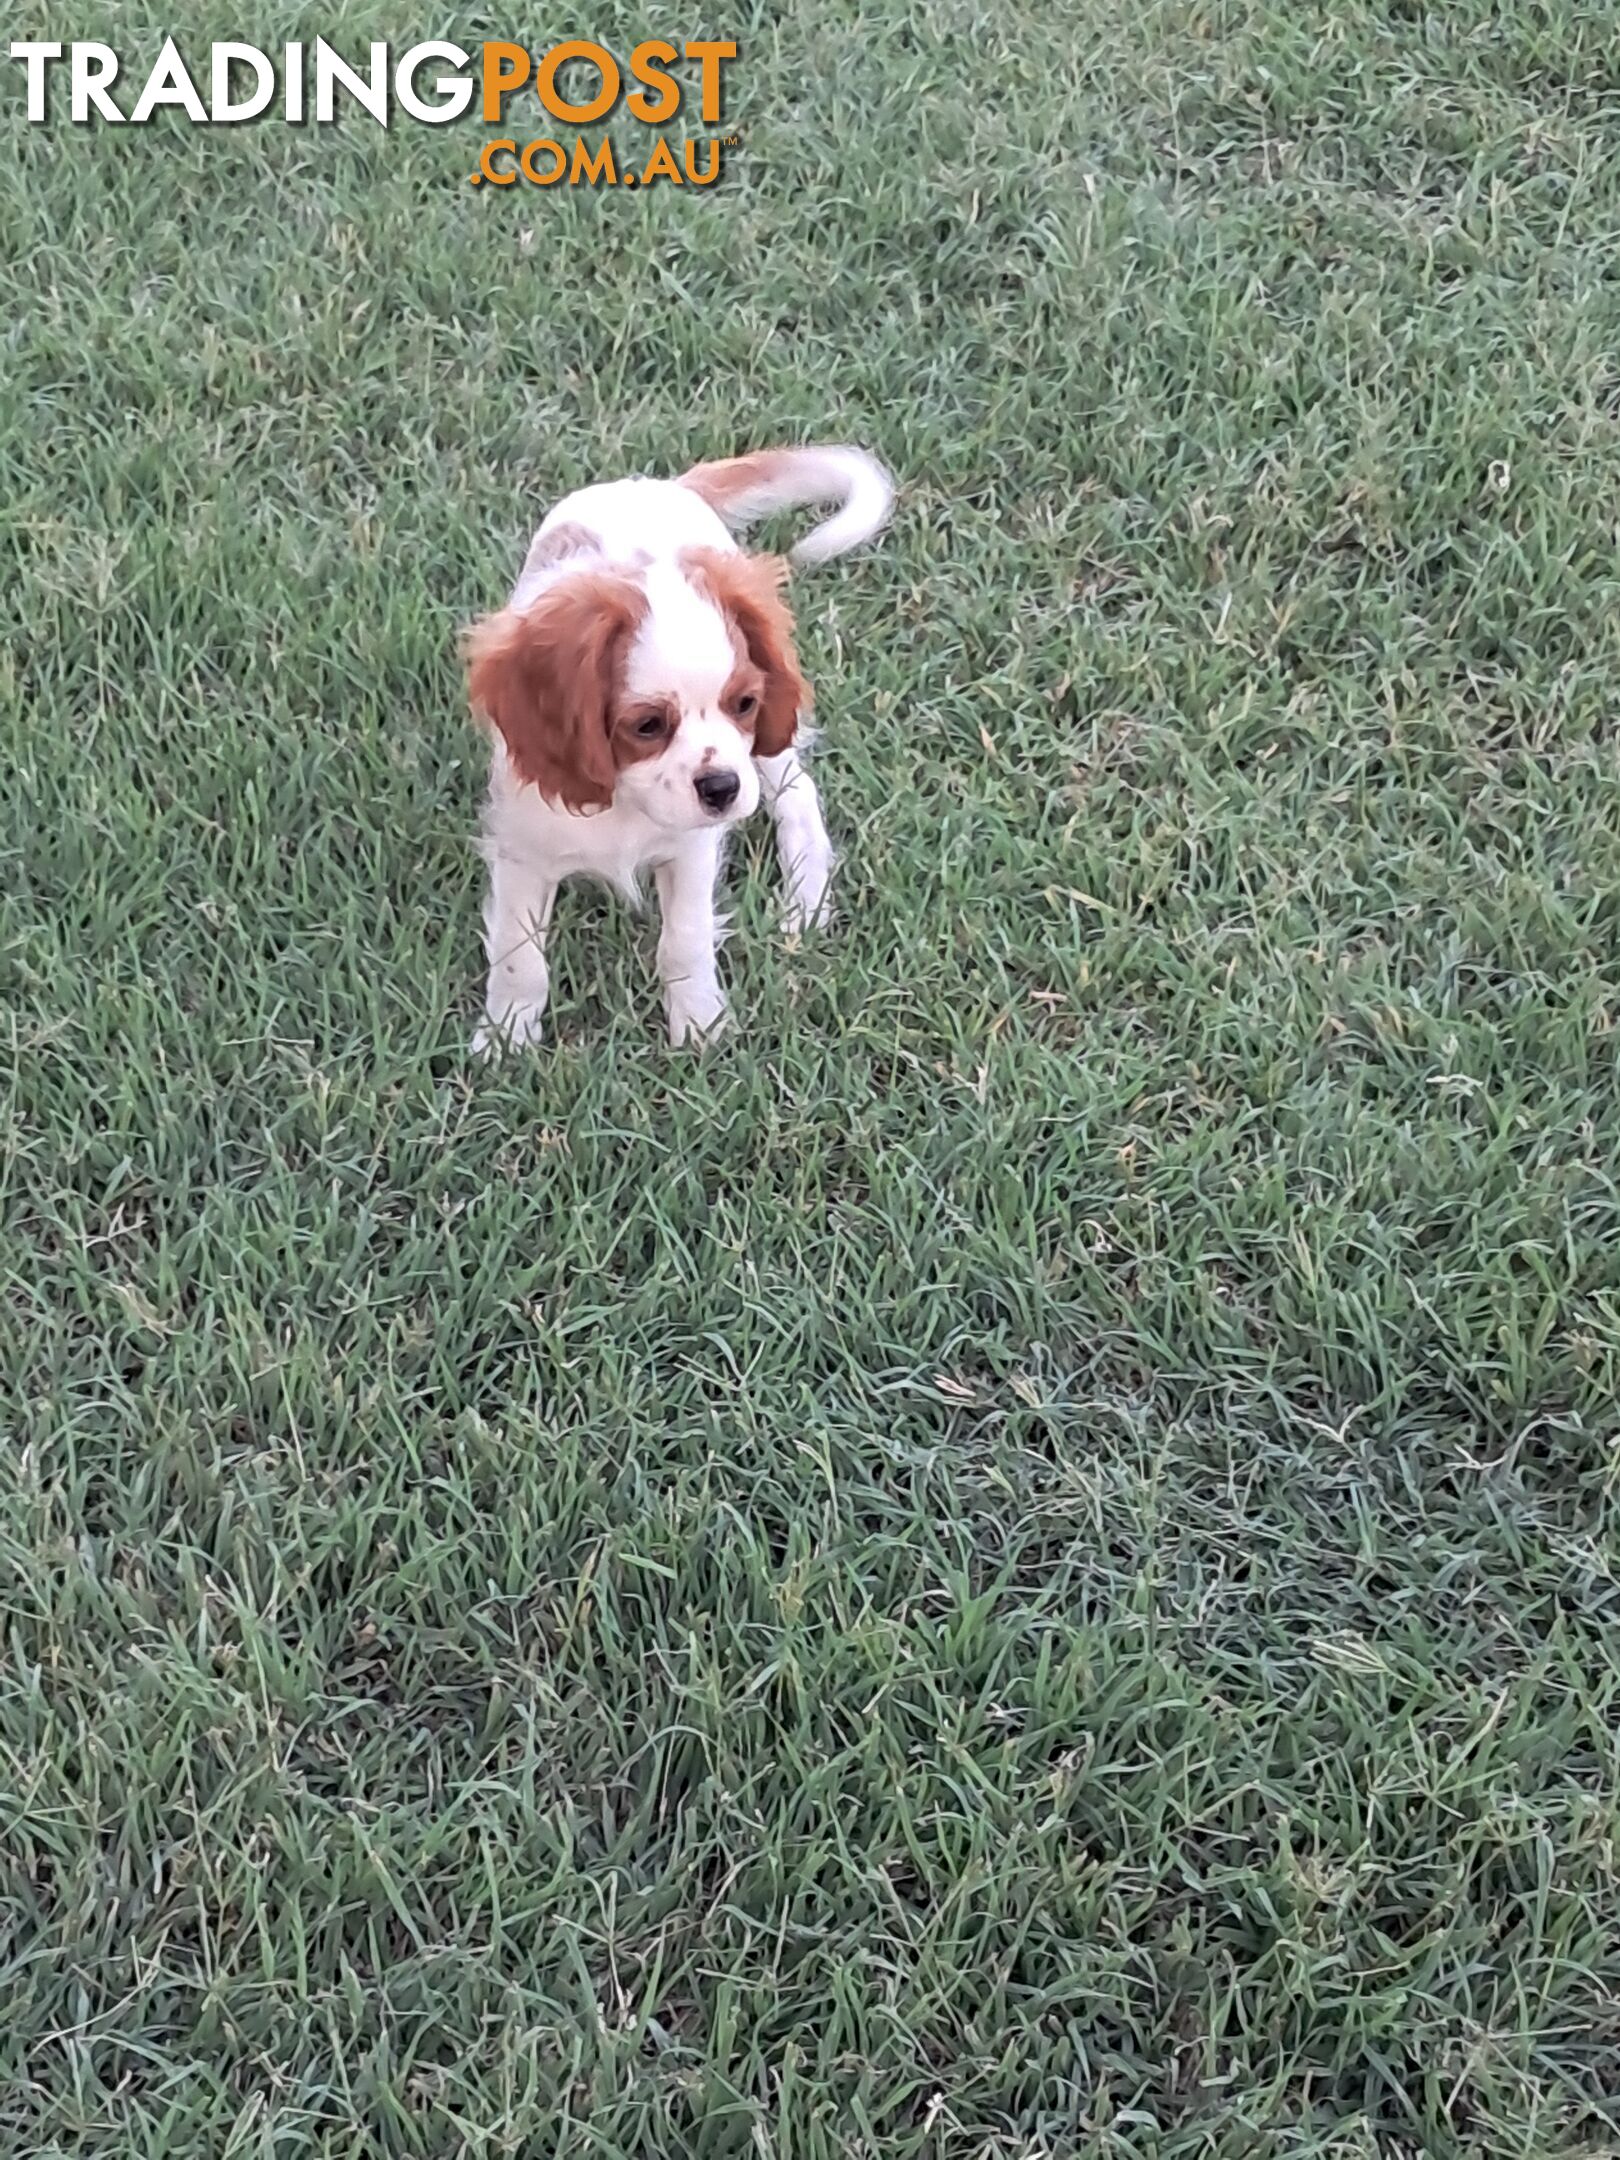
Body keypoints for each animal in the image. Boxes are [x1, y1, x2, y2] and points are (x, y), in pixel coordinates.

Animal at [468, 442, 894, 1049]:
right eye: (647, 725)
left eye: (744, 704)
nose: (722, 789)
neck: (625, 802)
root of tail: (660, 485)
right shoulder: (522, 851)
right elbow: (517, 955)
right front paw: (507, 1036)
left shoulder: (692, 848)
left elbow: (685, 937)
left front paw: (698, 1025)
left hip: (768, 755)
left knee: (797, 793)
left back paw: (806, 896)